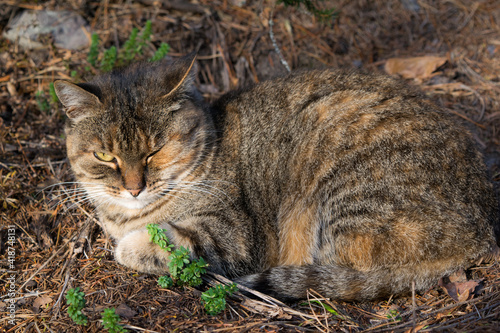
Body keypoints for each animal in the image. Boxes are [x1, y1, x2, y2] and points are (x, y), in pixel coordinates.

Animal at [52, 53, 498, 300]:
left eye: (155, 150)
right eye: (105, 155)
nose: (133, 188)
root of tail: (481, 233)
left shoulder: (233, 235)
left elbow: (150, 245)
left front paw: (131, 244)